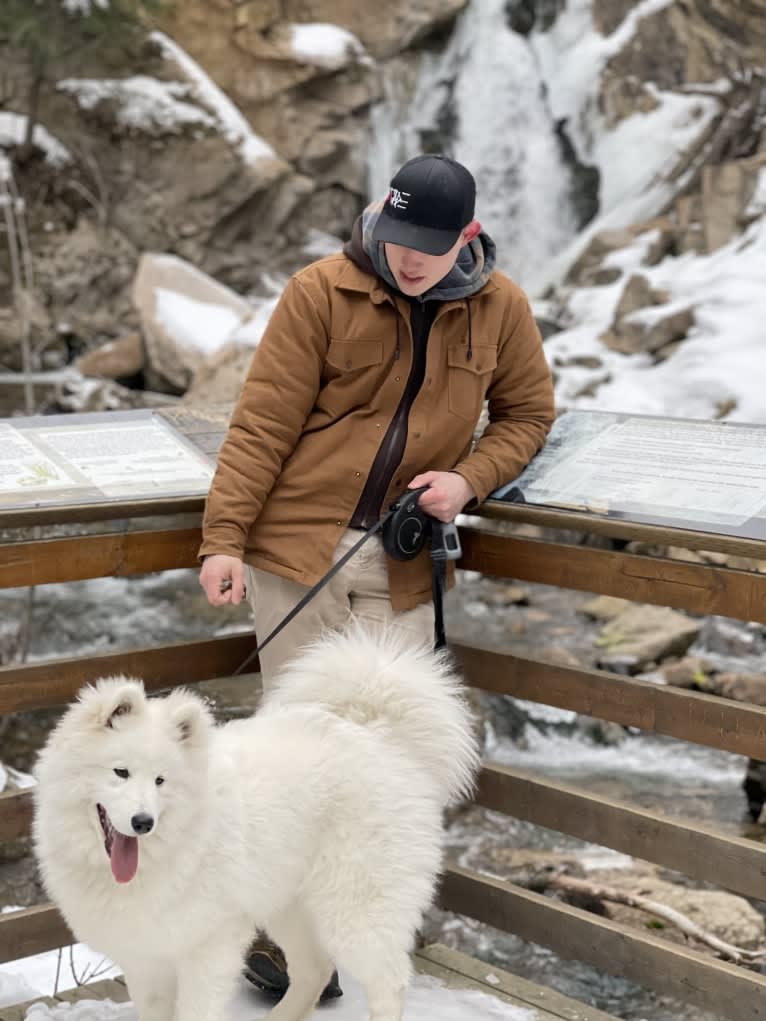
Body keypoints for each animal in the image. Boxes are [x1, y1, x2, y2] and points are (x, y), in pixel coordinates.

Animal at [37, 624, 480, 1021]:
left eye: (160, 781)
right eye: (121, 772)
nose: (143, 822)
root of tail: (380, 736)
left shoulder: (207, 948)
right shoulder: (147, 957)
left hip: (356, 910)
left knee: (389, 985)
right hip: (288, 903)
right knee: (314, 970)